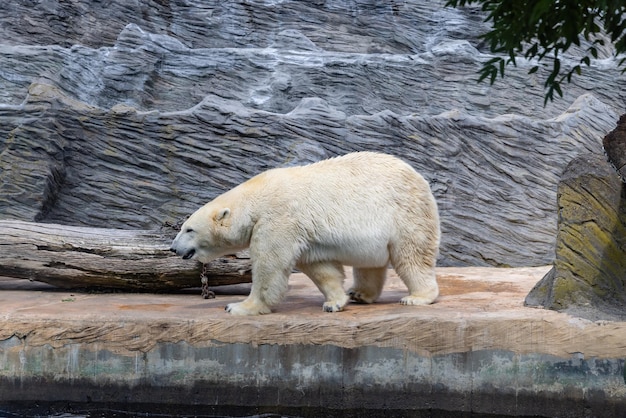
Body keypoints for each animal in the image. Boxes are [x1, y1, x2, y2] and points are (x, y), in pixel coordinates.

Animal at [168, 152, 436, 316]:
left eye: (189, 229)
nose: (173, 247)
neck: (256, 196)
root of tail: (420, 179)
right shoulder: (304, 233)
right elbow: (320, 267)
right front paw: (335, 301)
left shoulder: (278, 218)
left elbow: (270, 265)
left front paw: (239, 307)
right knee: (369, 263)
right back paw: (360, 293)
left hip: (405, 213)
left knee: (412, 256)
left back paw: (417, 297)